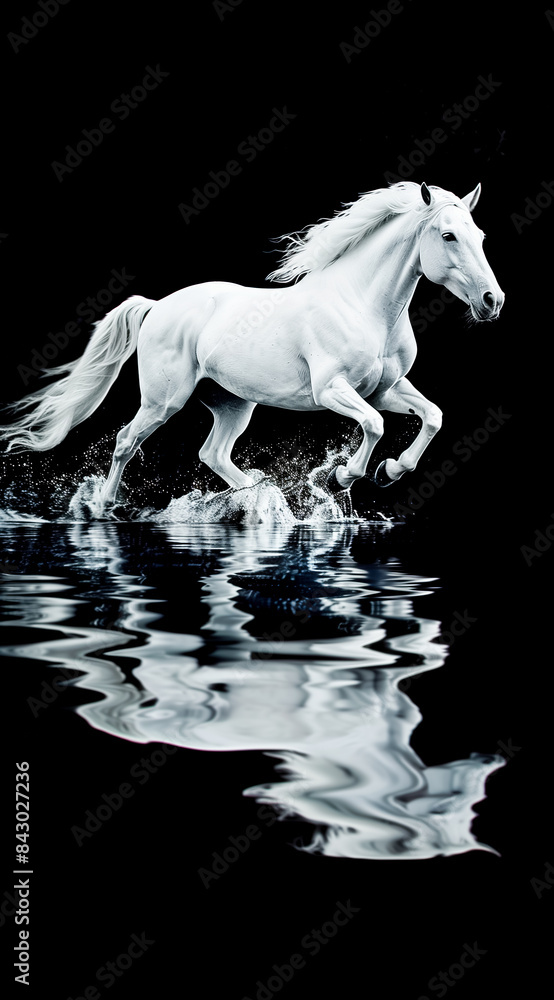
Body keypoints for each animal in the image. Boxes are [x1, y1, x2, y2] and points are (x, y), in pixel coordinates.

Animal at [0, 181, 504, 514]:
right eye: (448, 236)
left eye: (480, 236)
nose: (492, 301)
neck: (363, 304)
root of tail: (158, 305)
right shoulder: (332, 390)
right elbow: (375, 425)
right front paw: (344, 475)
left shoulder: (387, 388)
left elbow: (433, 416)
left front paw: (390, 472)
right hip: (164, 400)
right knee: (127, 441)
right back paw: (104, 508)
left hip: (232, 403)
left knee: (213, 453)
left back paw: (256, 496)